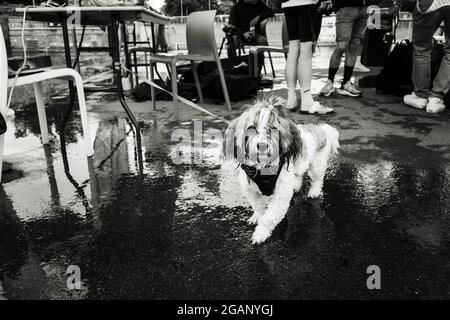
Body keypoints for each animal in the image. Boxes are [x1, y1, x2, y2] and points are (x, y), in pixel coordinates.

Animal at [223, 96, 340, 244]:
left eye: (273, 129)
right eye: (251, 128)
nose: (262, 145)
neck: (263, 170)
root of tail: (320, 129)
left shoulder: (281, 195)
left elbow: (269, 217)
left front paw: (260, 233)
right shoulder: (250, 190)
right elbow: (258, 206)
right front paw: (257, 216)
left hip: (316, 165)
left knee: (318, 180)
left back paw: (314, 192)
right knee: (299, 174)